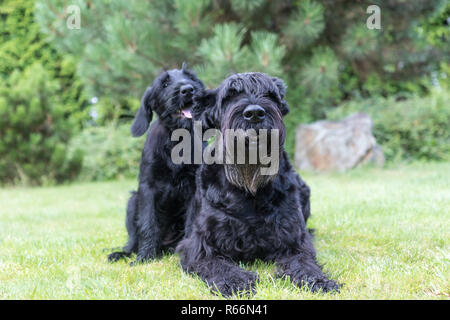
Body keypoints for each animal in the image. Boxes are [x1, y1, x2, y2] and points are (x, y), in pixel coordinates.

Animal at [109, 65, 206, 264]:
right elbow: (147, 224)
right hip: (132, 201)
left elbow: (191, 223)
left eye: (191, 78)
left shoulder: (195, 189)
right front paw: (144, 256)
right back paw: (122, 253)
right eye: (164, 84)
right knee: (132, 241)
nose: (188, 89)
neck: (176, 140)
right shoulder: (148, 187)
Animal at [178, 73, 340, 298]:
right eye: (230, 95)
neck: (249, 189)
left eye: (270, 95)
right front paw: (234, 281)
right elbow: (218, 264)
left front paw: (318, 280)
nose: (254, 113)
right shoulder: (200, 245)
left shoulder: (294, 239)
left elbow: (304, 261)